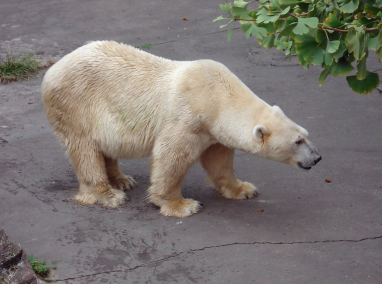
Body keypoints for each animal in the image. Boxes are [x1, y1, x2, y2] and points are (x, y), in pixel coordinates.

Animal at [41, 40, 322, 217]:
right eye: (297, 141)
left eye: (306, 135)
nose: (318, 158)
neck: (216, 96)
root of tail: (52, 69)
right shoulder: (187, 118)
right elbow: (172, 157)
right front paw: (182, 205)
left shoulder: (213, 130)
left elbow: (219, 159)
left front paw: (243, 189)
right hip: (75, 106)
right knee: (85, 149)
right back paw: (109, 195)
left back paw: (123, 180)